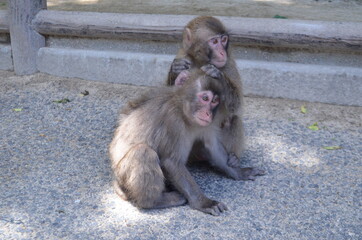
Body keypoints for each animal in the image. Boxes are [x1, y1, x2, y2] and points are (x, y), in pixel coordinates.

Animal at [109, 69, 229, 216]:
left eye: (215, 101)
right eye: (205, 98)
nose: (208, 113)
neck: (182, 110)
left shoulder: (208, 124)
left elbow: (212, 147)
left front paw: (239, 172)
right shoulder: (173, 122)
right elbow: (172, 162)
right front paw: (204, 203)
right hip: (123, 174)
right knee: (143, 152)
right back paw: (155, 201)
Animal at [165, 15, 264, 180]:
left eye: (223, 40)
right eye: (214, 42)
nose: (222, 52)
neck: (201, 61)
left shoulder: (229, 64)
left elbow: (236, 105)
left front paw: (218, 76)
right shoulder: (182, 56)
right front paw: (176, 72)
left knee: (232, 119)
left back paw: (233, 158)